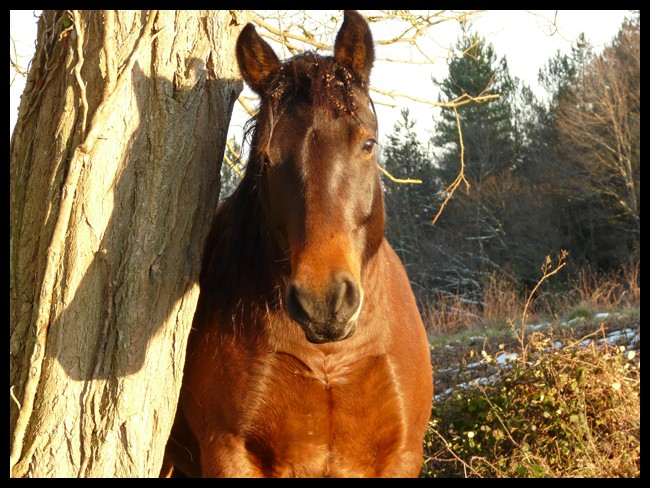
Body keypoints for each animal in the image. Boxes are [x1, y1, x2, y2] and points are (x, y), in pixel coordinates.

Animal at [162, 9, 432, 478]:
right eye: (267, 159)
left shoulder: (401, 456)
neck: (330, 357)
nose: (323, 302)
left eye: (368, 143)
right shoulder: (228, 453)